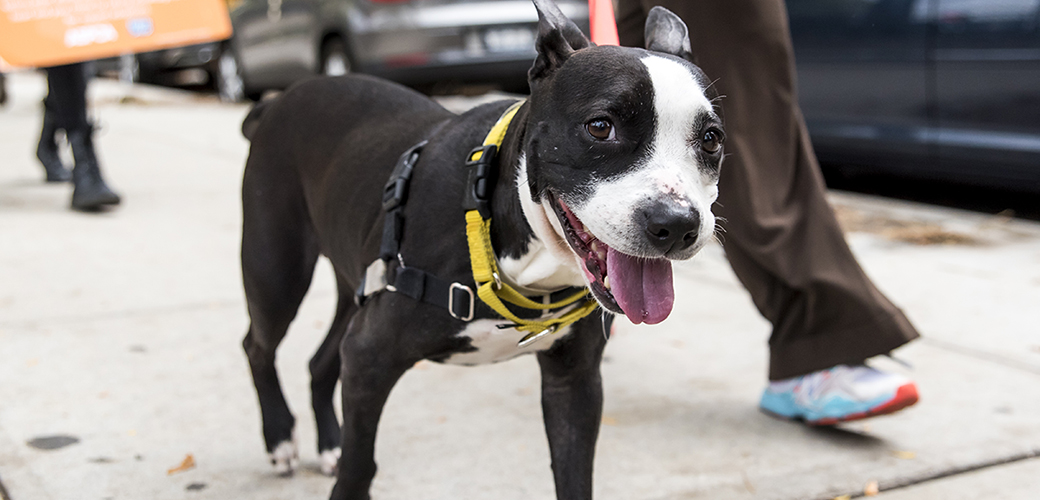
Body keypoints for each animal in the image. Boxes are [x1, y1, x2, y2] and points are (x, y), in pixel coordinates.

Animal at [240, 1, 723, 496]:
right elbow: (360, 468)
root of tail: (280, 99)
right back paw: (280, 438)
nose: (676, 224)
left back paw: (328, 444)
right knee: (257, 344)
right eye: (600, 127)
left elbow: (574, 474)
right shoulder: (368, 357)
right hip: (276, 272)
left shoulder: (575, 382)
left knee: (320, 362)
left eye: (711, 139)